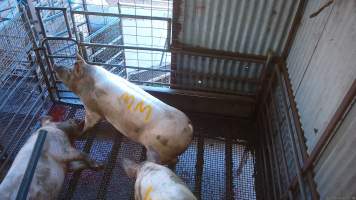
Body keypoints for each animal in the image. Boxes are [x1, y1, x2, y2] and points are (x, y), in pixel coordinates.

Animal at [55, 54, 193, 165]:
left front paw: (78, 133)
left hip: (156, 150)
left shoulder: (91, 107)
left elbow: (89, 121)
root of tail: (188, 128)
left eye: (70, 71)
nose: (56, 65)